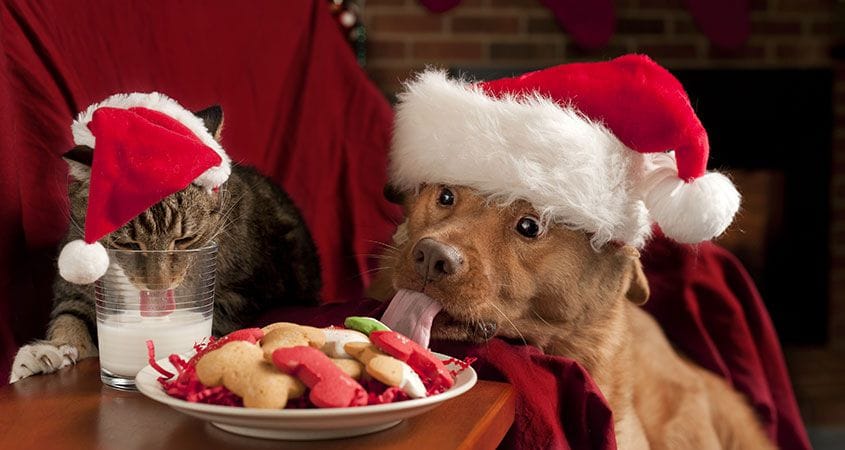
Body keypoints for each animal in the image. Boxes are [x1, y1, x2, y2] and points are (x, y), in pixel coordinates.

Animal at [8, 106, 322, 384]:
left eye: (184, 240)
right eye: (128, 244)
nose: (157, 286)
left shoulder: (240, 294)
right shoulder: (77, 293)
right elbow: (70, 318)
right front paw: (49, 351)